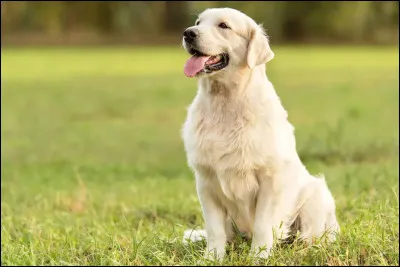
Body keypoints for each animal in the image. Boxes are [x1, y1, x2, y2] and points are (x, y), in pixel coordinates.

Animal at [180, 7, 340, 260]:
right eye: (197, 22)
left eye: (223, 26)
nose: (188, 33)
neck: (225, 103)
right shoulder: (206, 180)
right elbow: (214, 229)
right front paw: (212, 258)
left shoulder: (270, 180)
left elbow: (264, 225)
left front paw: (259, 257)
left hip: (316, 195)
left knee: (311, 237)